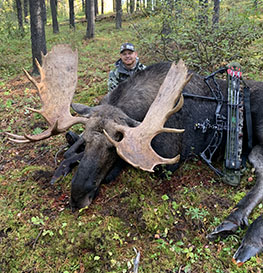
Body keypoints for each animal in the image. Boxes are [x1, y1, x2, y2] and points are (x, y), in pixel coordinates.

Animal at [5, 44, 263, 264]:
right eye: (86, 141)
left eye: (113, 146)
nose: (78, 198)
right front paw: (65, 162)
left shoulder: (168, 162)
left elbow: (122, 167)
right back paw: (234, 223)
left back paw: (245, 236)